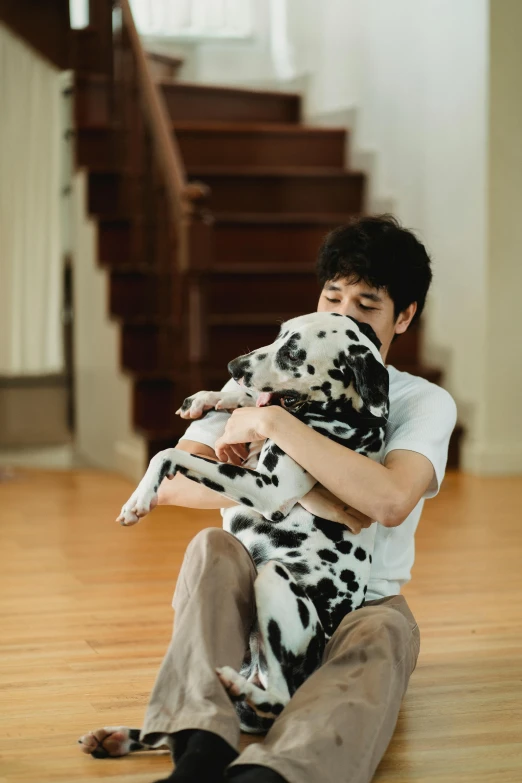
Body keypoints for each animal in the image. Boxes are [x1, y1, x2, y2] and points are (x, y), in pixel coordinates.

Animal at [77, 314, 386, 760]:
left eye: (294, 353)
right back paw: (117, 736)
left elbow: (168, 454)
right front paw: (209, 398)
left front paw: (139, 498)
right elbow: (248, 405)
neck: (346, 417)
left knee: (279, 697)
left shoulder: (268, 488)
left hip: (274, 581)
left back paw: (240, 689)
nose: (233, 366)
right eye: (279, 332)